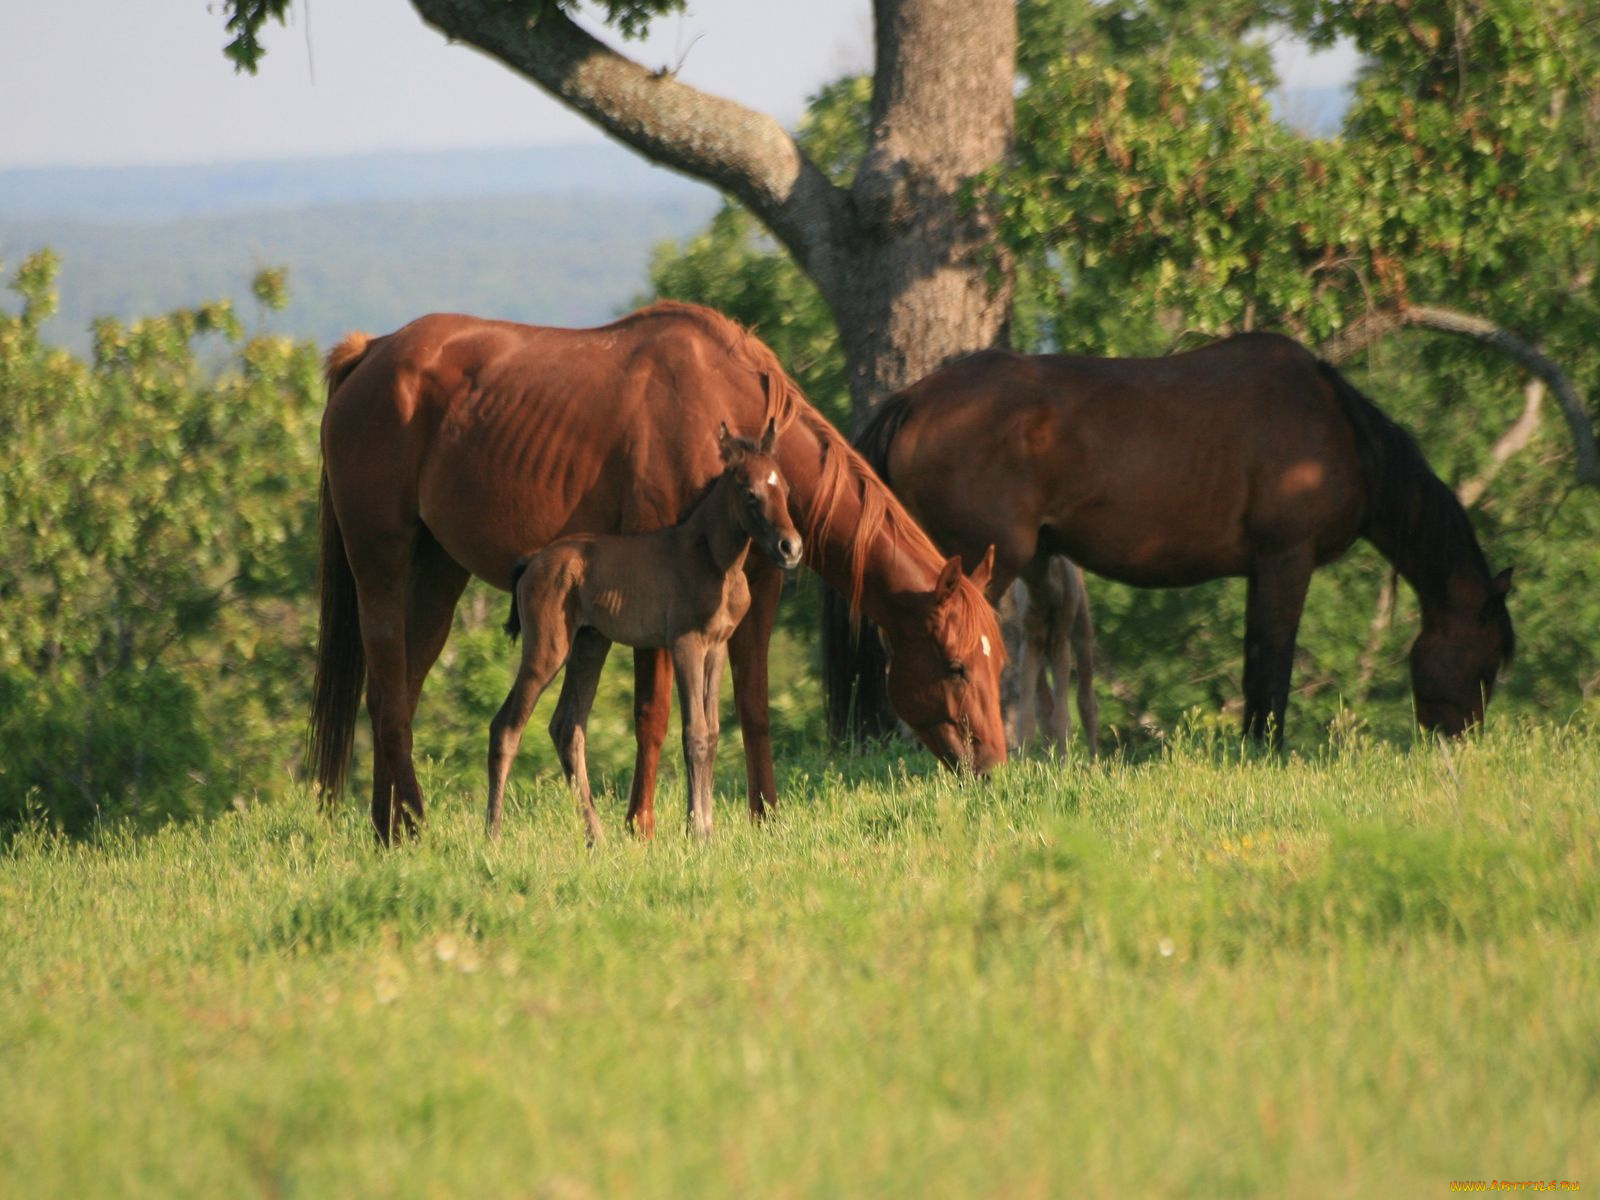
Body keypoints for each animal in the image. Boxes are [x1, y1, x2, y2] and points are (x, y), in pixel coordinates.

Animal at [483, 422, 800, 844]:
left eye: (785, 488)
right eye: (750, 493)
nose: (790, 547)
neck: (714, 561)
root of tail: (532, 561)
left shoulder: (716, 646)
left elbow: (714, 733)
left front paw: (708, 827)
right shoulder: (685, 643)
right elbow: (695, 733)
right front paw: (697, 831)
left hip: (589, 643)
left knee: (567, 727)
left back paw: (596, 837)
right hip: (547, 648)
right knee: (506, 727)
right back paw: (493, 835)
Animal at [1011, 556, 1100, 761]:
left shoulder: (1060, 638)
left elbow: (1063, 716)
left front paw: (1064, 763)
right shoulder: (1030, 639)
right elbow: (1026, 716)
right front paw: (1023, 764)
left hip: (1081, 623)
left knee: (1086, 699)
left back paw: (1095, 761)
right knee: (1044, 703)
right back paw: (1047, 758)